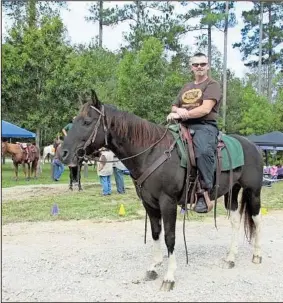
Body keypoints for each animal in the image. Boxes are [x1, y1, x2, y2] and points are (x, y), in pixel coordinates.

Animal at [61, 90, 266, 292]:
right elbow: (155, 233)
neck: (151, 152)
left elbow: (169, 237)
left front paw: (169, 277)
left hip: (253, 192)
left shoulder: (168, 202)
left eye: (87, 121)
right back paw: (230, 257)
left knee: (257, 220)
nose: (62, 153)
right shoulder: (149, 203)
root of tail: (254, 147)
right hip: (232, 192)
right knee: (235, 222)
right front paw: (153, 266)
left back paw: (257, 255)